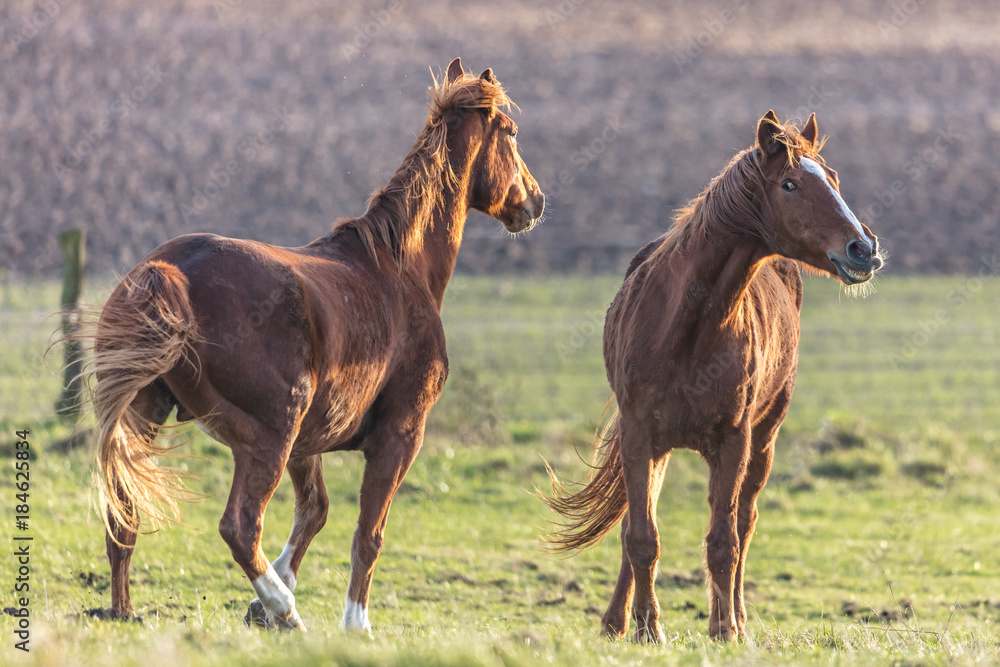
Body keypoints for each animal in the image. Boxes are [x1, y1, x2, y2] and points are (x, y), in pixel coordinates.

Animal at [91, 57, 544, 633]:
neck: (400, 269)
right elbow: (368, 534)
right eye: (511, 133)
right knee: (239, 526)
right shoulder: (399, 436)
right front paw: (353, 625)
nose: (536, 201)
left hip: (149, 417)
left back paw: (125, 612)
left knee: (122, 514)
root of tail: (164, 271)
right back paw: (288, 614)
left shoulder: (310, 443)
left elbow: (315, 513)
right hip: (267, 437)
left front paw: (262, 604)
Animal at [544, 111, 883, 643]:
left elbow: (724, 540)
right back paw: (617, 620)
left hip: (763, 439)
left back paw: (736, 616)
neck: (688, 328)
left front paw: (724, 629)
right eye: (790, 183)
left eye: (833, 177)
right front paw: (645, 628)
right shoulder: (639, 435)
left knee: (744, 522)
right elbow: (640, 536)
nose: (863, 248)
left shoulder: (733, 440)